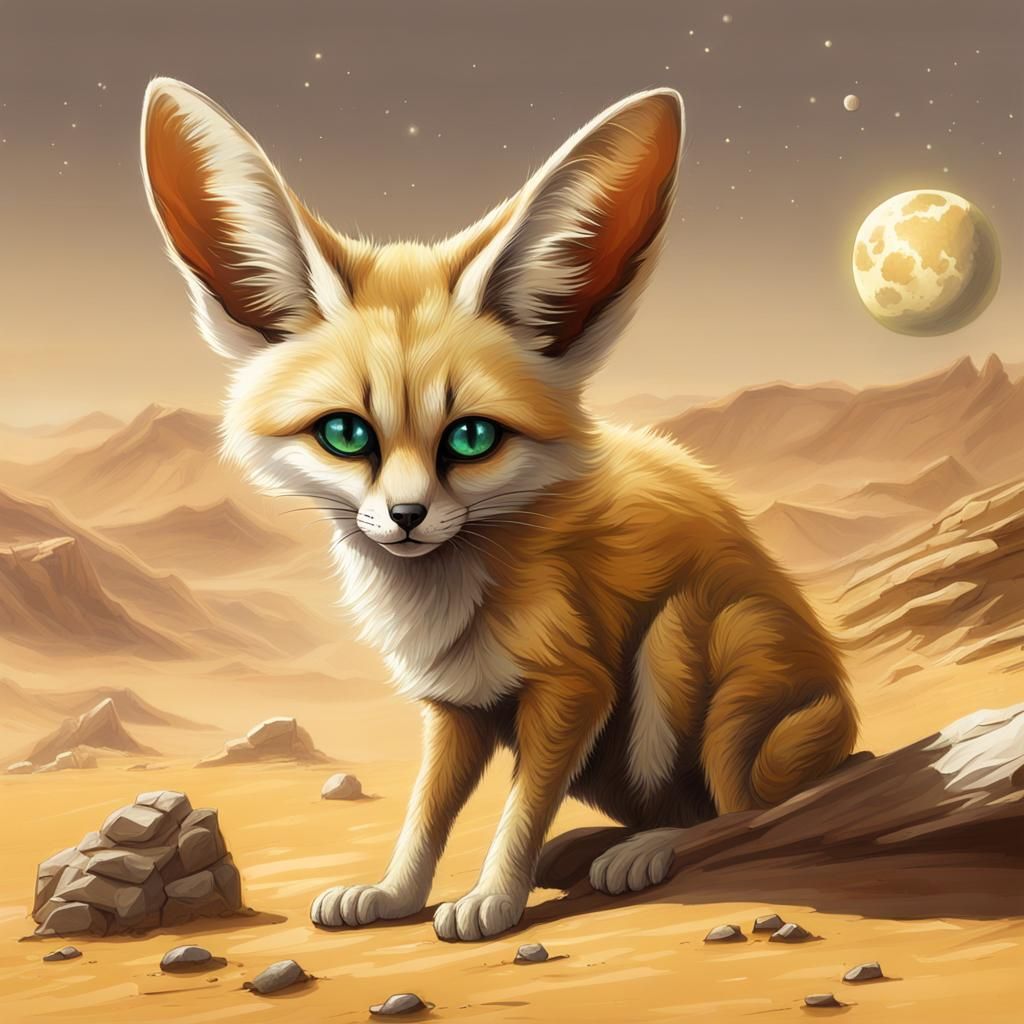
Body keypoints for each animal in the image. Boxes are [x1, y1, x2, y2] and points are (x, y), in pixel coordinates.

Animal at [140, 79, 857, 942]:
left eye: (472, 437)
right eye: (346, 434)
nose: (407, 516)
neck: (451, 596)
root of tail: (844, 714)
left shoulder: (574, 685)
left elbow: (520, 811)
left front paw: (493, 899)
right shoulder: (457, 706)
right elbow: (425, 815)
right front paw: (395, 894)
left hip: (685, 643)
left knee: (737, 812)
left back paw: (646, 850)